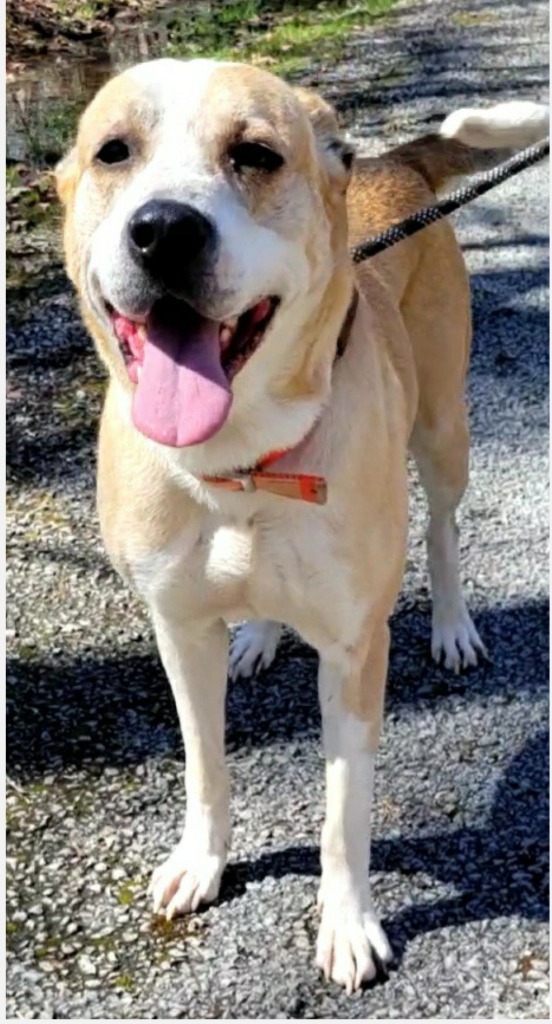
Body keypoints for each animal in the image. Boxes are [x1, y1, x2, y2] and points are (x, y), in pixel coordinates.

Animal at [56, 58, 548, 991]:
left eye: (255, 154)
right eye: (113, 152)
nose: (163, 232)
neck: (244, 462)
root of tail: (390, 164)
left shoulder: (355, 650)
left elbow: (343, 810)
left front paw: (348, 925)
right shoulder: (179, 630)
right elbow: (205, 764)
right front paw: (202, 861)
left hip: (444, 429)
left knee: (443, 531)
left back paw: (454, 625)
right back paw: (257, 637)